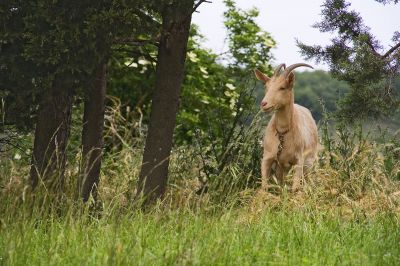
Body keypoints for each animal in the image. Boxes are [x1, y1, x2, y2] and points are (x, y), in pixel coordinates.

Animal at [256, 62, 318, 191]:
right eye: (266, 87)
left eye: (282, 87)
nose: (264, 104)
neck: (282, 133)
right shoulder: (267, 158)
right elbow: (264, 187)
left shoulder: (298, 161)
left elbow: (295, 188)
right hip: (282, 167)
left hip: (309, 163)